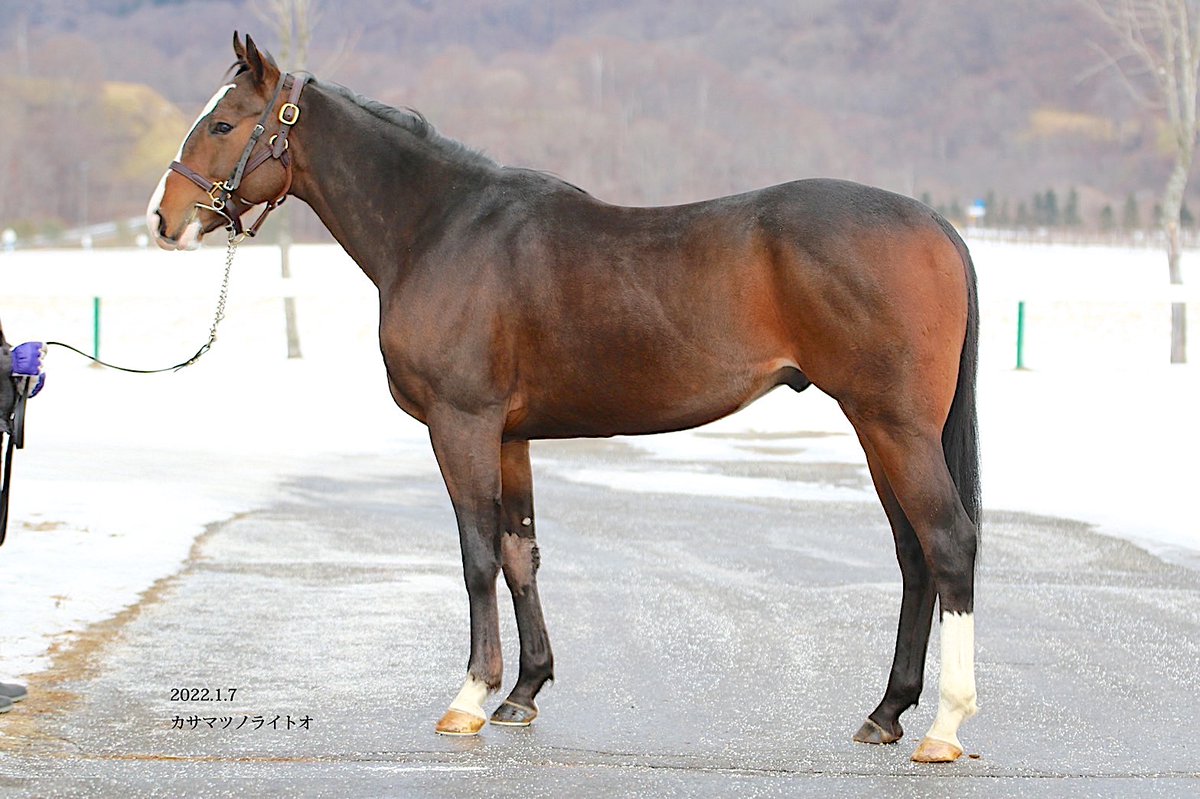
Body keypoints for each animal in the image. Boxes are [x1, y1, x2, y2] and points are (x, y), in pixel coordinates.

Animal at [147, 34, 981, 763]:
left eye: (224, 123)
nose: (164, 218)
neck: (438, 228)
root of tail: (936, 223)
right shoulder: (510, 434)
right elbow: (521, 552)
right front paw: (523, 690)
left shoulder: (462, 424)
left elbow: (476, 554)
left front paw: (469, 697)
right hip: (879, 430)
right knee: (913, 553)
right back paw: (885, 712)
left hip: (894, 425)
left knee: (948, 542)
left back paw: (944, 726)